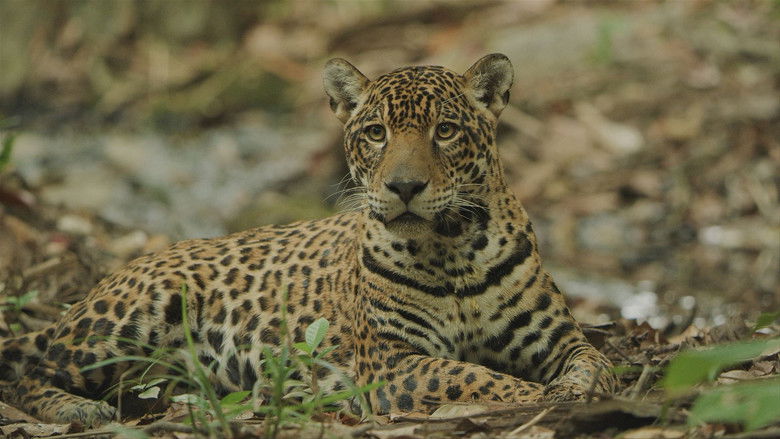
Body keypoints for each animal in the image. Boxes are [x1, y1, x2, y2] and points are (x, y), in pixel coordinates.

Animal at [0, 54, 615, 426]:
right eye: (376, 133)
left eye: (444, 131)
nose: (404, 186)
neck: (453, 249)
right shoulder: (393, 362)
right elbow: (476, 378)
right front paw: (538, 400)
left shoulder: (562, 339)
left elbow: (595, 365)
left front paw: (574, 394)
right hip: (132, 318)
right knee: (28, 370)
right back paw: (77, 412)